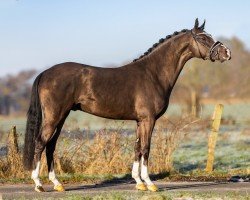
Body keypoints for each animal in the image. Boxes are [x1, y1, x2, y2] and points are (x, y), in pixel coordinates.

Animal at [22, 18, 231, 192]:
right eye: (203, 38)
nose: (227, 53)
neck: (153, 74)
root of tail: (45, 73)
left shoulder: (140, 121)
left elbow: (137, 148)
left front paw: (139, 183)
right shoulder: (148, 120)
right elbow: (146, 148)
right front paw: (150, 184)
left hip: (62, 116)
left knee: (50, 146)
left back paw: (57, 184)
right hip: (54, 116)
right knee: (40, 143)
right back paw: (38, 184)